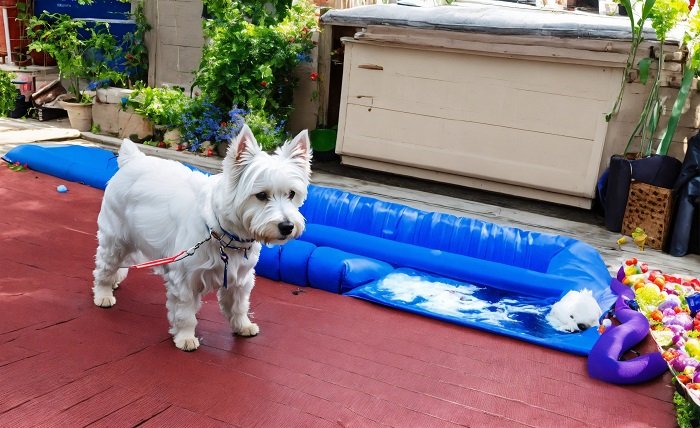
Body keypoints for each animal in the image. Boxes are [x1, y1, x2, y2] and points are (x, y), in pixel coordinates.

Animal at [91, 124, 310, 352]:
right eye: (261, 195)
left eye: (291, 194)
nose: (287, 226)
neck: (224, 234)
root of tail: (131, 160)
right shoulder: (185, 279)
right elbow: (185, 313)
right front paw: (185, 338)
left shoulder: (241, 278)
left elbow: (239, 306)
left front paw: (243, 326)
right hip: (115, 238)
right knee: (104, 266)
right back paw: (104, 293)